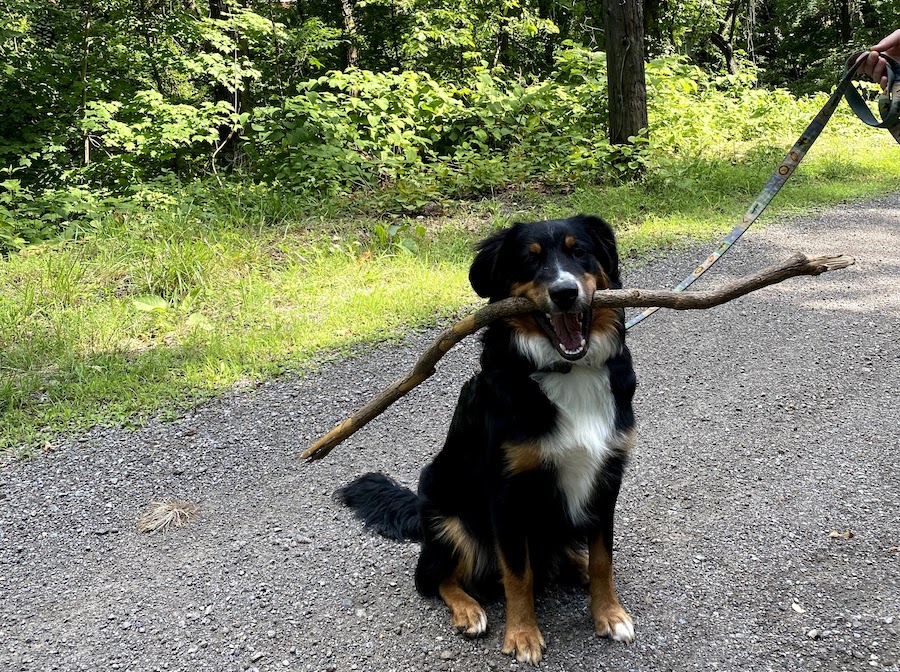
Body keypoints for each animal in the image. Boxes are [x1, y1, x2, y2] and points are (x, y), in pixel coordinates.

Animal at [338, 214, 640, 660]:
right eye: (529, 260)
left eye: (580, 251)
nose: (565, 293)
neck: (566, 371)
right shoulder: (506, 492)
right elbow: (517, 573)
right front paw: (522, 635)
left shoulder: (607, 476)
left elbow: (603, 559)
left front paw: (609, 613)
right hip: (450, 519)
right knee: (432, 577)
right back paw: (468, 610)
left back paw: (575, 564)